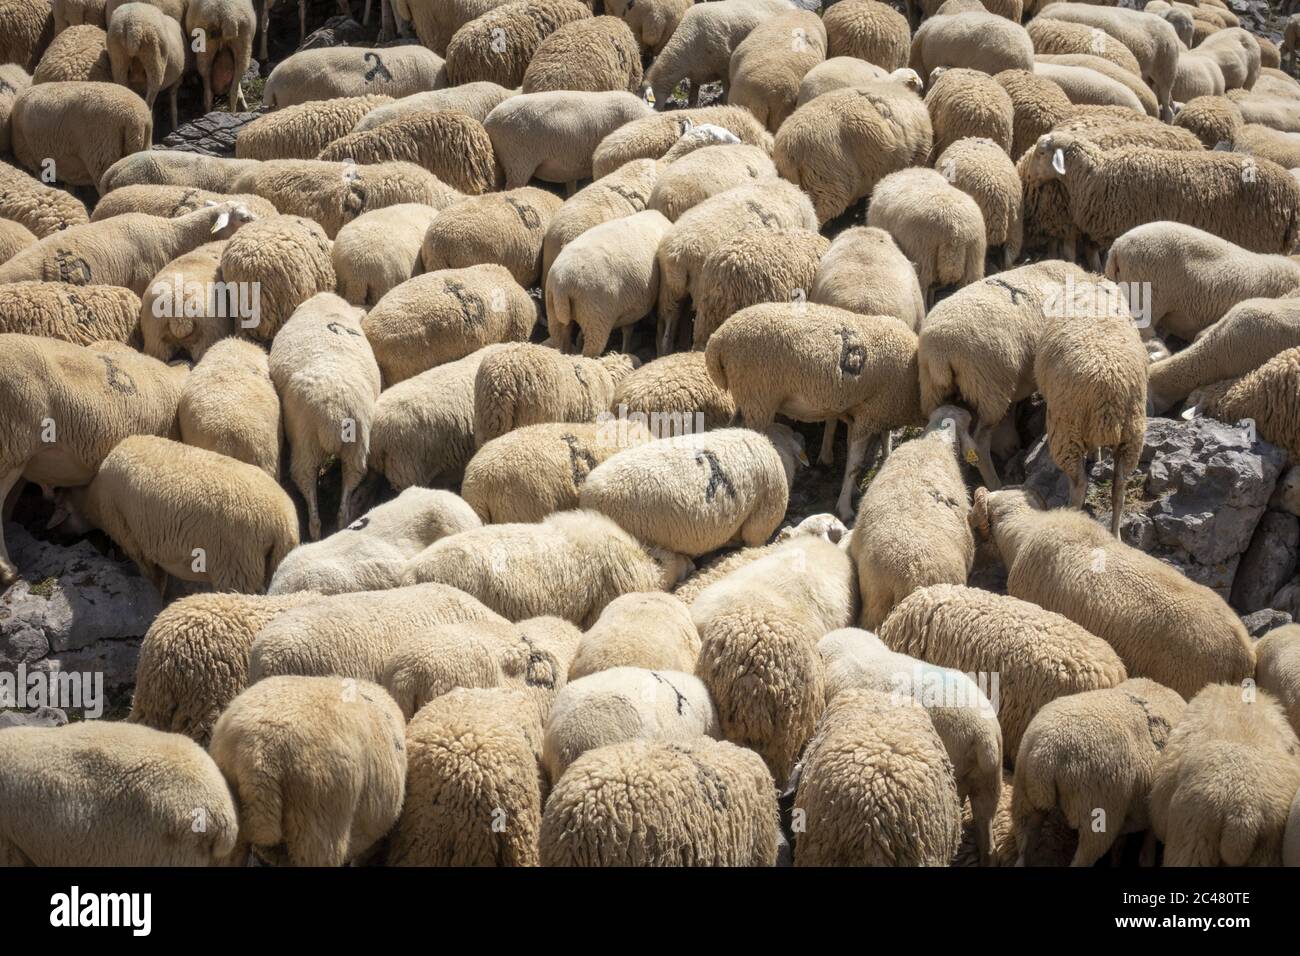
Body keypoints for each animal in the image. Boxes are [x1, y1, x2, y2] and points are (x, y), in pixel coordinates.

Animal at [269, 292, 380, 541]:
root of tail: (334, 415)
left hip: (306, 443)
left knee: (306, 481)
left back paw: (315, 532)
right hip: (357, 444)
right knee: (351, 481)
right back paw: (340, 524)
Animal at [546, 210, 671, 356]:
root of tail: (562, 282)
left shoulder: (630, 307)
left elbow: (628, 330)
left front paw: (624, 350)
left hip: (553, 311)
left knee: (560, 340)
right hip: (596, 318)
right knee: (589, 352)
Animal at [706, 302, 923, 520]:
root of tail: (717, 341)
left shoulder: (870, 410)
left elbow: (878, 441)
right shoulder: (870, 413)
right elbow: (855, 463)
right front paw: (845, 507)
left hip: (747, 399)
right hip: (758, 397)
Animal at [1012, 678, 1187, 867]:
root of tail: (1046, 750)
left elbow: (1121, 847)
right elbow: (1146, 854)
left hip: (1025, 801)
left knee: (1024, 849)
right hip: (1097, 817)